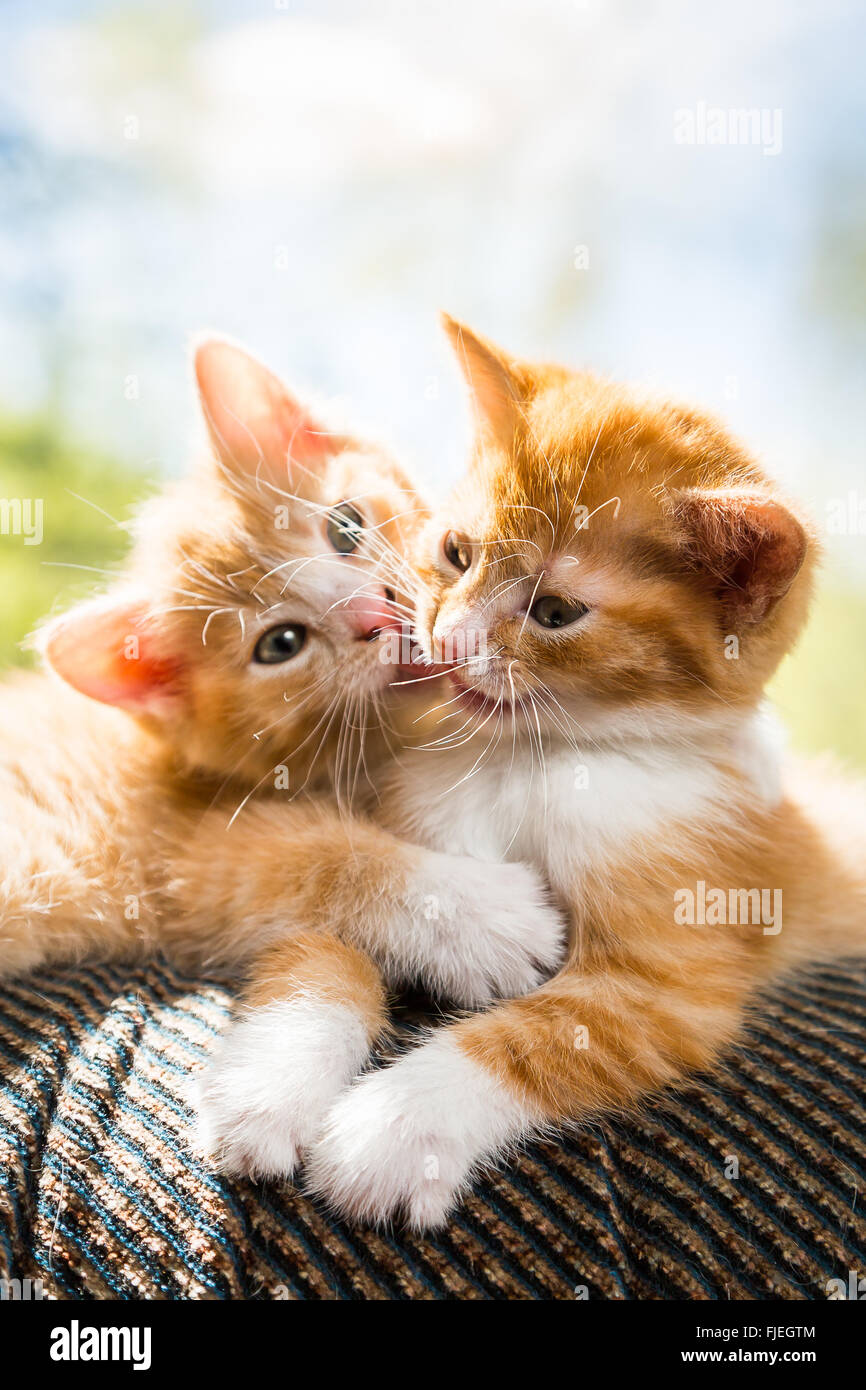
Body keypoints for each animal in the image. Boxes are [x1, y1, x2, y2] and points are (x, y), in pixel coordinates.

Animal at [303, 318, 866, 1228]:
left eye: (556, 612)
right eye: (456, 552)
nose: (449, 639)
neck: (528, 760)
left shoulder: (674, 974)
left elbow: (548, 1037)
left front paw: (393, 1128)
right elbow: (341, 932)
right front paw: (266, 1092)